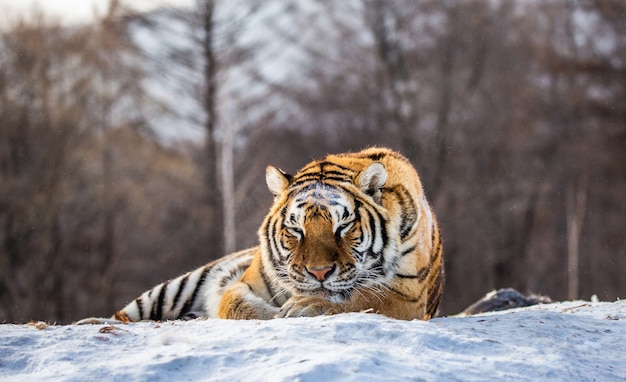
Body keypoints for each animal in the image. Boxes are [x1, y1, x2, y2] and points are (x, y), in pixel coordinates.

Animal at [78, 146, 442, 322]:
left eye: (343, 226)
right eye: (296, 229)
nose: (319, 273)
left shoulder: (407, 296)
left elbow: (362, 299)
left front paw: (305, 306)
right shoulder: (246, 282)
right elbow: (233, 303)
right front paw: (280, 312)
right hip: (178, 286)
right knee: (125, 315)